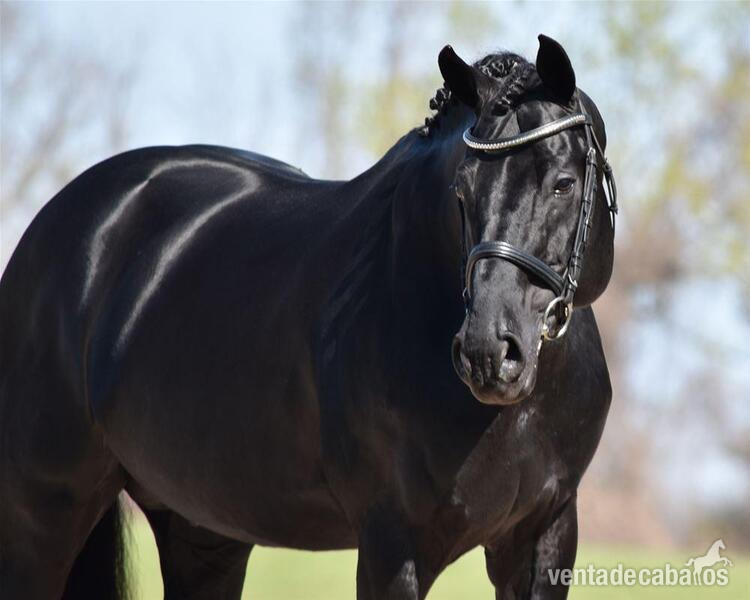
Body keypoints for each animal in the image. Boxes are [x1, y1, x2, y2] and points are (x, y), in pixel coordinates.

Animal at [0, 34, 617, 599]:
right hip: (42, 516)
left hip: (202, 528)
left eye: (563, 183)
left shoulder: (543, 535)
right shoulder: (393, 546)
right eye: (461, 193)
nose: (489, 353)